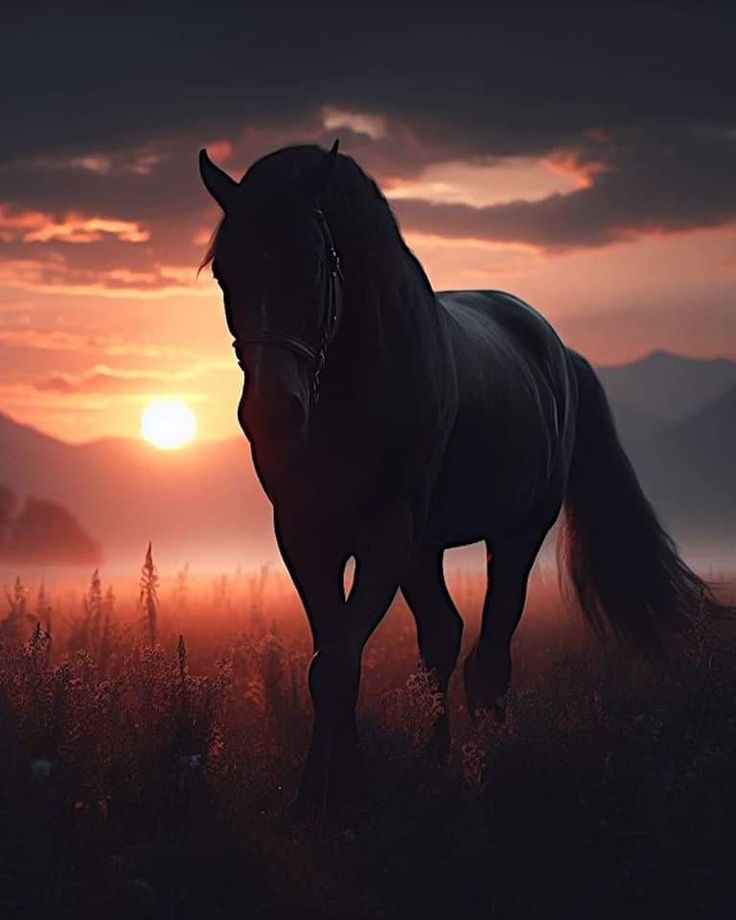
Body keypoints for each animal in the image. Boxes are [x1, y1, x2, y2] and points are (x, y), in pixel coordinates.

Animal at [198, 142, 728, 812]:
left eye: (314, 263)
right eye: (226, 272)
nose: (272, 412)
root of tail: (559, 351)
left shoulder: (387, 535)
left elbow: (340, 661)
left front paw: (331, 797)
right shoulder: (305, 537)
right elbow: (332, 658)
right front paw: (333, 790)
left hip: (515, 535)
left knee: (489, 655)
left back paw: (489, 761)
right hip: (425, 549)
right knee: (442, 637)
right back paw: (435, 759)